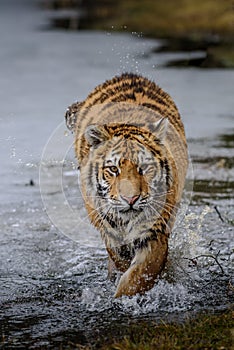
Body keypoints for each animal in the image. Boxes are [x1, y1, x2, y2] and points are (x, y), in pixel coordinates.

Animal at [64, 72, 188, 296]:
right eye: (113, 169)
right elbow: (122, 261)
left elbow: (140, 274)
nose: (131, 199)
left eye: (144, 168)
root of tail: (131, 75)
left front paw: (124, 297)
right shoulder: (109, 231)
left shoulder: (154, 230)